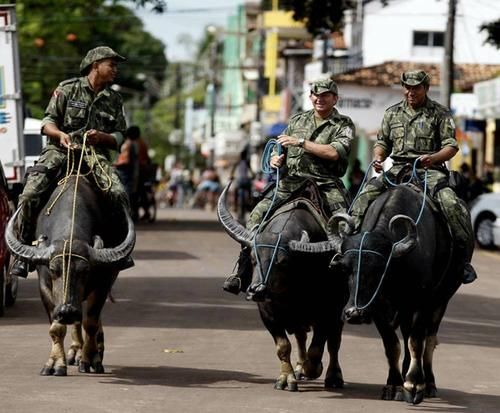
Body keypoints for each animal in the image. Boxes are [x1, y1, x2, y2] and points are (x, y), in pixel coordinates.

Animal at [6, 174, 135, 374]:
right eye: (53, 270)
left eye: (85, 270)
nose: (66, 311)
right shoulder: (45, 285)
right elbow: (56, 328)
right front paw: (55, 363)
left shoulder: (103, 282)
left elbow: (91, 322)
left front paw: (90, 359)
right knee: (77, 319)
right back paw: (75, 350)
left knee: (88, 318)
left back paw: (95, 348)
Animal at [219, 179, 348, 390]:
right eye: (253, 259)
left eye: (283, 262)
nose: (257, 291)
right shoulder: (268, 313)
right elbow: (283, 346)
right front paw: (286, 378)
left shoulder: (328, 310)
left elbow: (319, 347)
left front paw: (313, 369)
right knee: (301, 336)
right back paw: (299, 367)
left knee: (334, 342)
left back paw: (333, 376)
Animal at [292, 185, 466, 404]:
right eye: (346, 269)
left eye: (379, 269)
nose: (354, 313)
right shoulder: (377, 308)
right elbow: (392, 345)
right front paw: (394, 385)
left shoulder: (421, 303)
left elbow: (417, 342)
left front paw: (414, 385)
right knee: (407, 335)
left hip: (441, 300)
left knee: (429, 339)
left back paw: (428, 383)